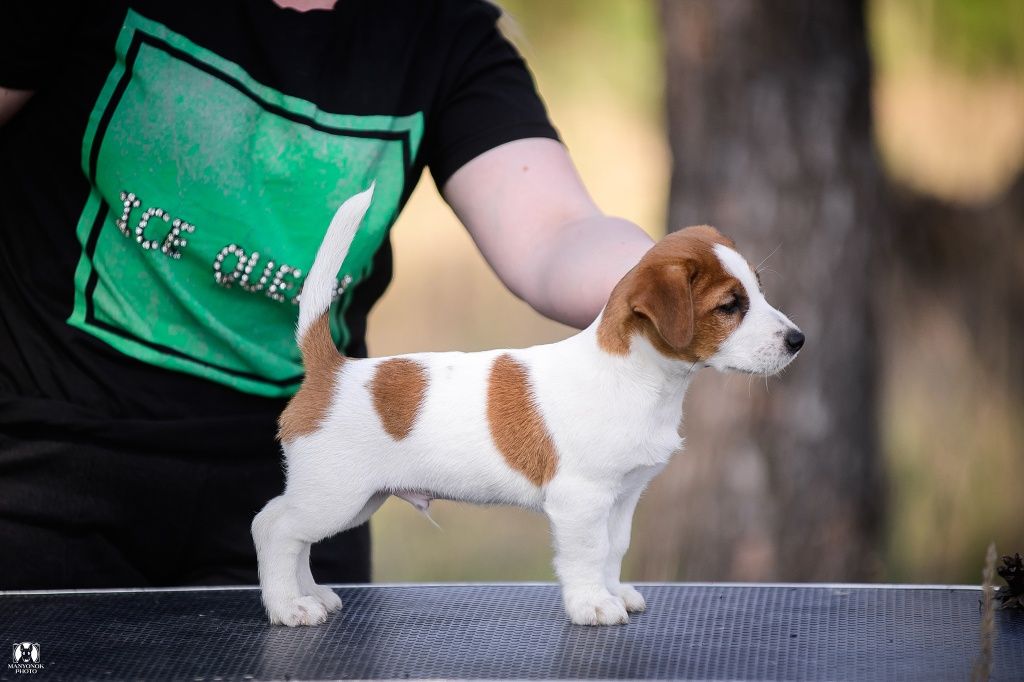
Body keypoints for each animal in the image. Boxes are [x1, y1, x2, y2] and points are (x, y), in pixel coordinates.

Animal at [251, 183, 802, 622]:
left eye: (759, 292)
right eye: (730, 306)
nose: (798, 340)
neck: (637, 378)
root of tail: (332, 370)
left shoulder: (623, 497)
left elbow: (612, 549)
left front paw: (614, 592)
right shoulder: (581, 500)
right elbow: (586, 554)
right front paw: (592, 605)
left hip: (354, 500)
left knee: (293, 535)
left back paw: (311, 595)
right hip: (334, 496)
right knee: (273, 528)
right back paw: (288, 606)